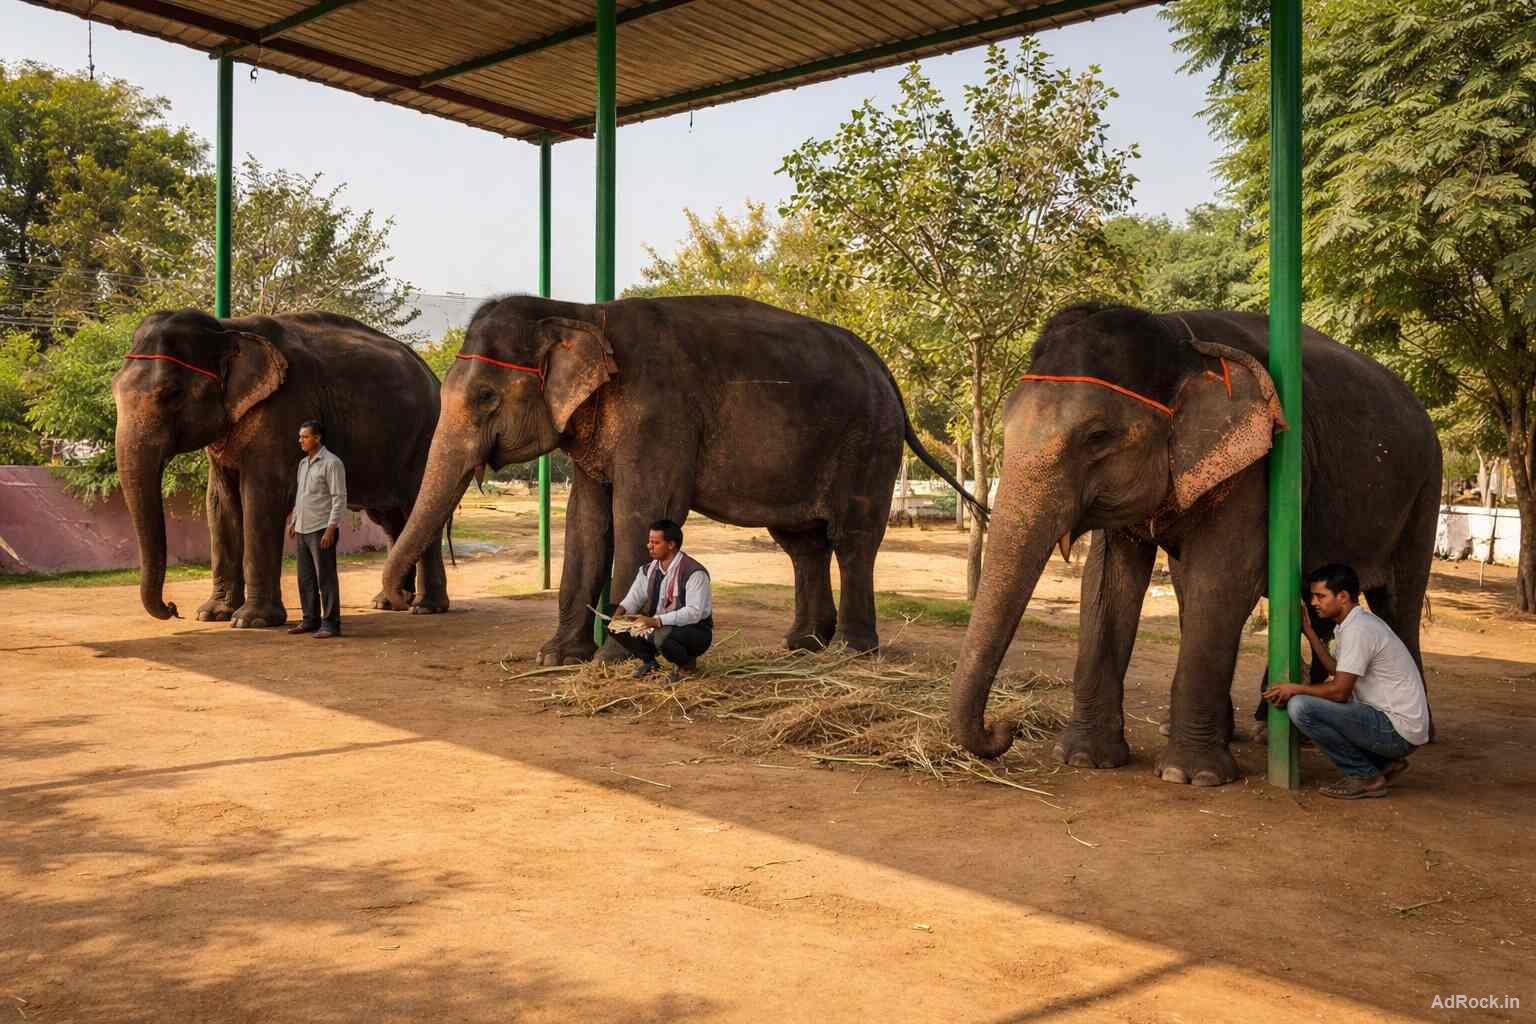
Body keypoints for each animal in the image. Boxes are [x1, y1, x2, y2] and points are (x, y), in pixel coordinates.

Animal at [113, 309, 449, 627]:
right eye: (114, 389)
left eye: (171, 393)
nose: (173, 608)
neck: (228, 328)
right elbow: (220, 504)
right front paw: (212, 614)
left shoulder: (282, 412)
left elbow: (261, 498)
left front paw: (251, 621)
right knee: (392, 520)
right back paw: (389, 602)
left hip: (426, 439)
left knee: (416, 507)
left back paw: (425, 607)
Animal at [378, 294, 983, 662]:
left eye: (484, 396)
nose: (394, 600)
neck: (579, 311)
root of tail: (886, 371)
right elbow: (585, 524)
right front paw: (555, 657)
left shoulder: (657, 416)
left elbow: (638, 514)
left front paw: (613, 657)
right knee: (802, 544)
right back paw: (801, 646)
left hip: (868, 444)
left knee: (852, 538)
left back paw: (852, 653)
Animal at [950, 303, 1441, 786]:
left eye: (1097, 437)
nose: (1002, 730)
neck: (1177, 338)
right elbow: (1108, 583)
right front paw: (1085, 759)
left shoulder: (1257, 466)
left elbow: (1223, 579)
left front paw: (1191, 775)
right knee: (1310, 607)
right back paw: (1264, 729)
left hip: (1424, 489)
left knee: (1397, 601)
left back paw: (1417, 737)